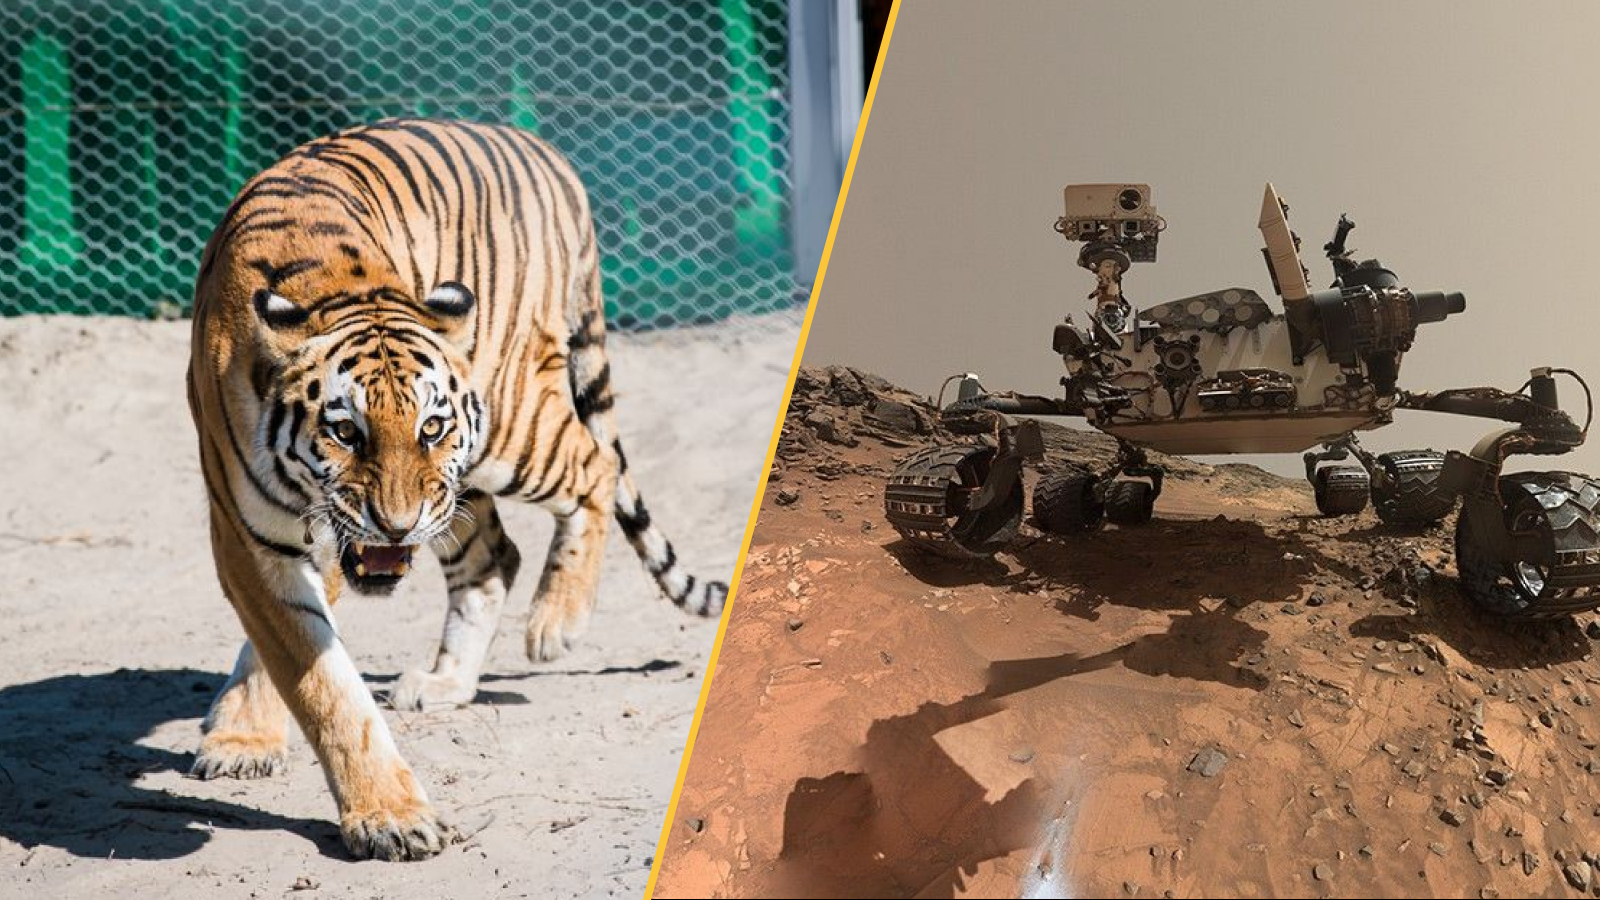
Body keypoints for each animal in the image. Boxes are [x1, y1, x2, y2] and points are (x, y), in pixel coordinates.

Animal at [185, 117, 728, 861]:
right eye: (346, 432)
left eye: (430, 426)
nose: (396, 524)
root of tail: (546, 152)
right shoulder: (250, 535)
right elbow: (309, 670)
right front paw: (250, 740)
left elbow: (316, 678)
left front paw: (387, 817)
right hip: (460, 484)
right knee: (495, 555)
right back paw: (446, 681)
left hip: (506, 428)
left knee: (594, 464)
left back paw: (556, 622)